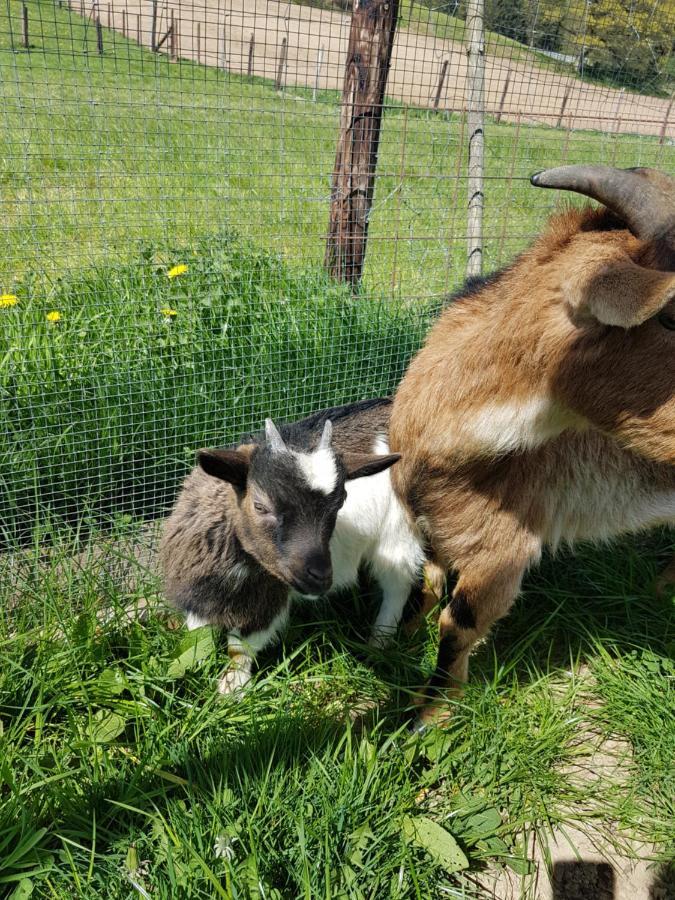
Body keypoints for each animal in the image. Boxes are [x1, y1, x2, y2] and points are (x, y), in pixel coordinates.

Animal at [390, 163, 675, 724]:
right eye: (672, 316)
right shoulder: (434, 527)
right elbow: (424, 587)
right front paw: (393, 643)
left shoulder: (504, 547)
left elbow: (458, 624)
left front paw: (430, 716)